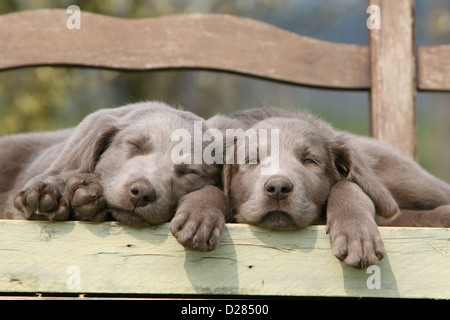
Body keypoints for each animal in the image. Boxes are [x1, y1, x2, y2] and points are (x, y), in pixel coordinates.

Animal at [221, 109, 450, 268]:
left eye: (309, 160)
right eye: (252, 160)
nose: (278, 188)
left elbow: (345, 184)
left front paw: (358, 237)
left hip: (410, 182)